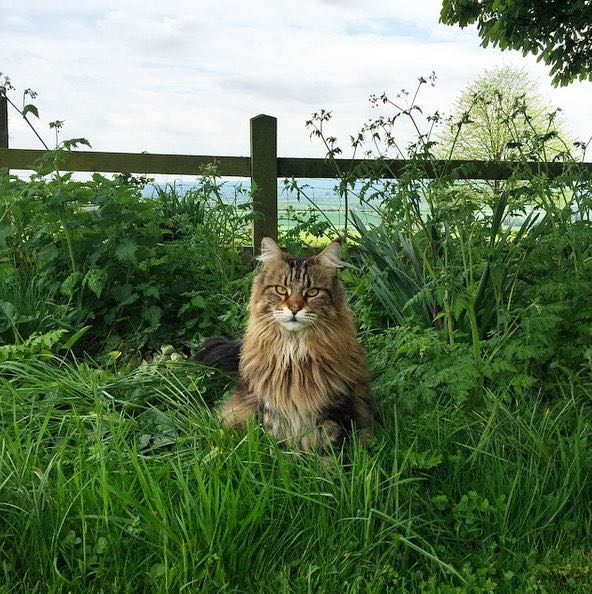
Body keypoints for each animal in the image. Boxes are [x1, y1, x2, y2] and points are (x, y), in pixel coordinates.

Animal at [201, 238, 376, 450]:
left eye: (312, 292)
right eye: (281, 290)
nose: (294, 308)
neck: (294, 354)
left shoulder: (337, 408)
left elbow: (331, 449)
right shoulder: (271, 410)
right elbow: (275, 446)